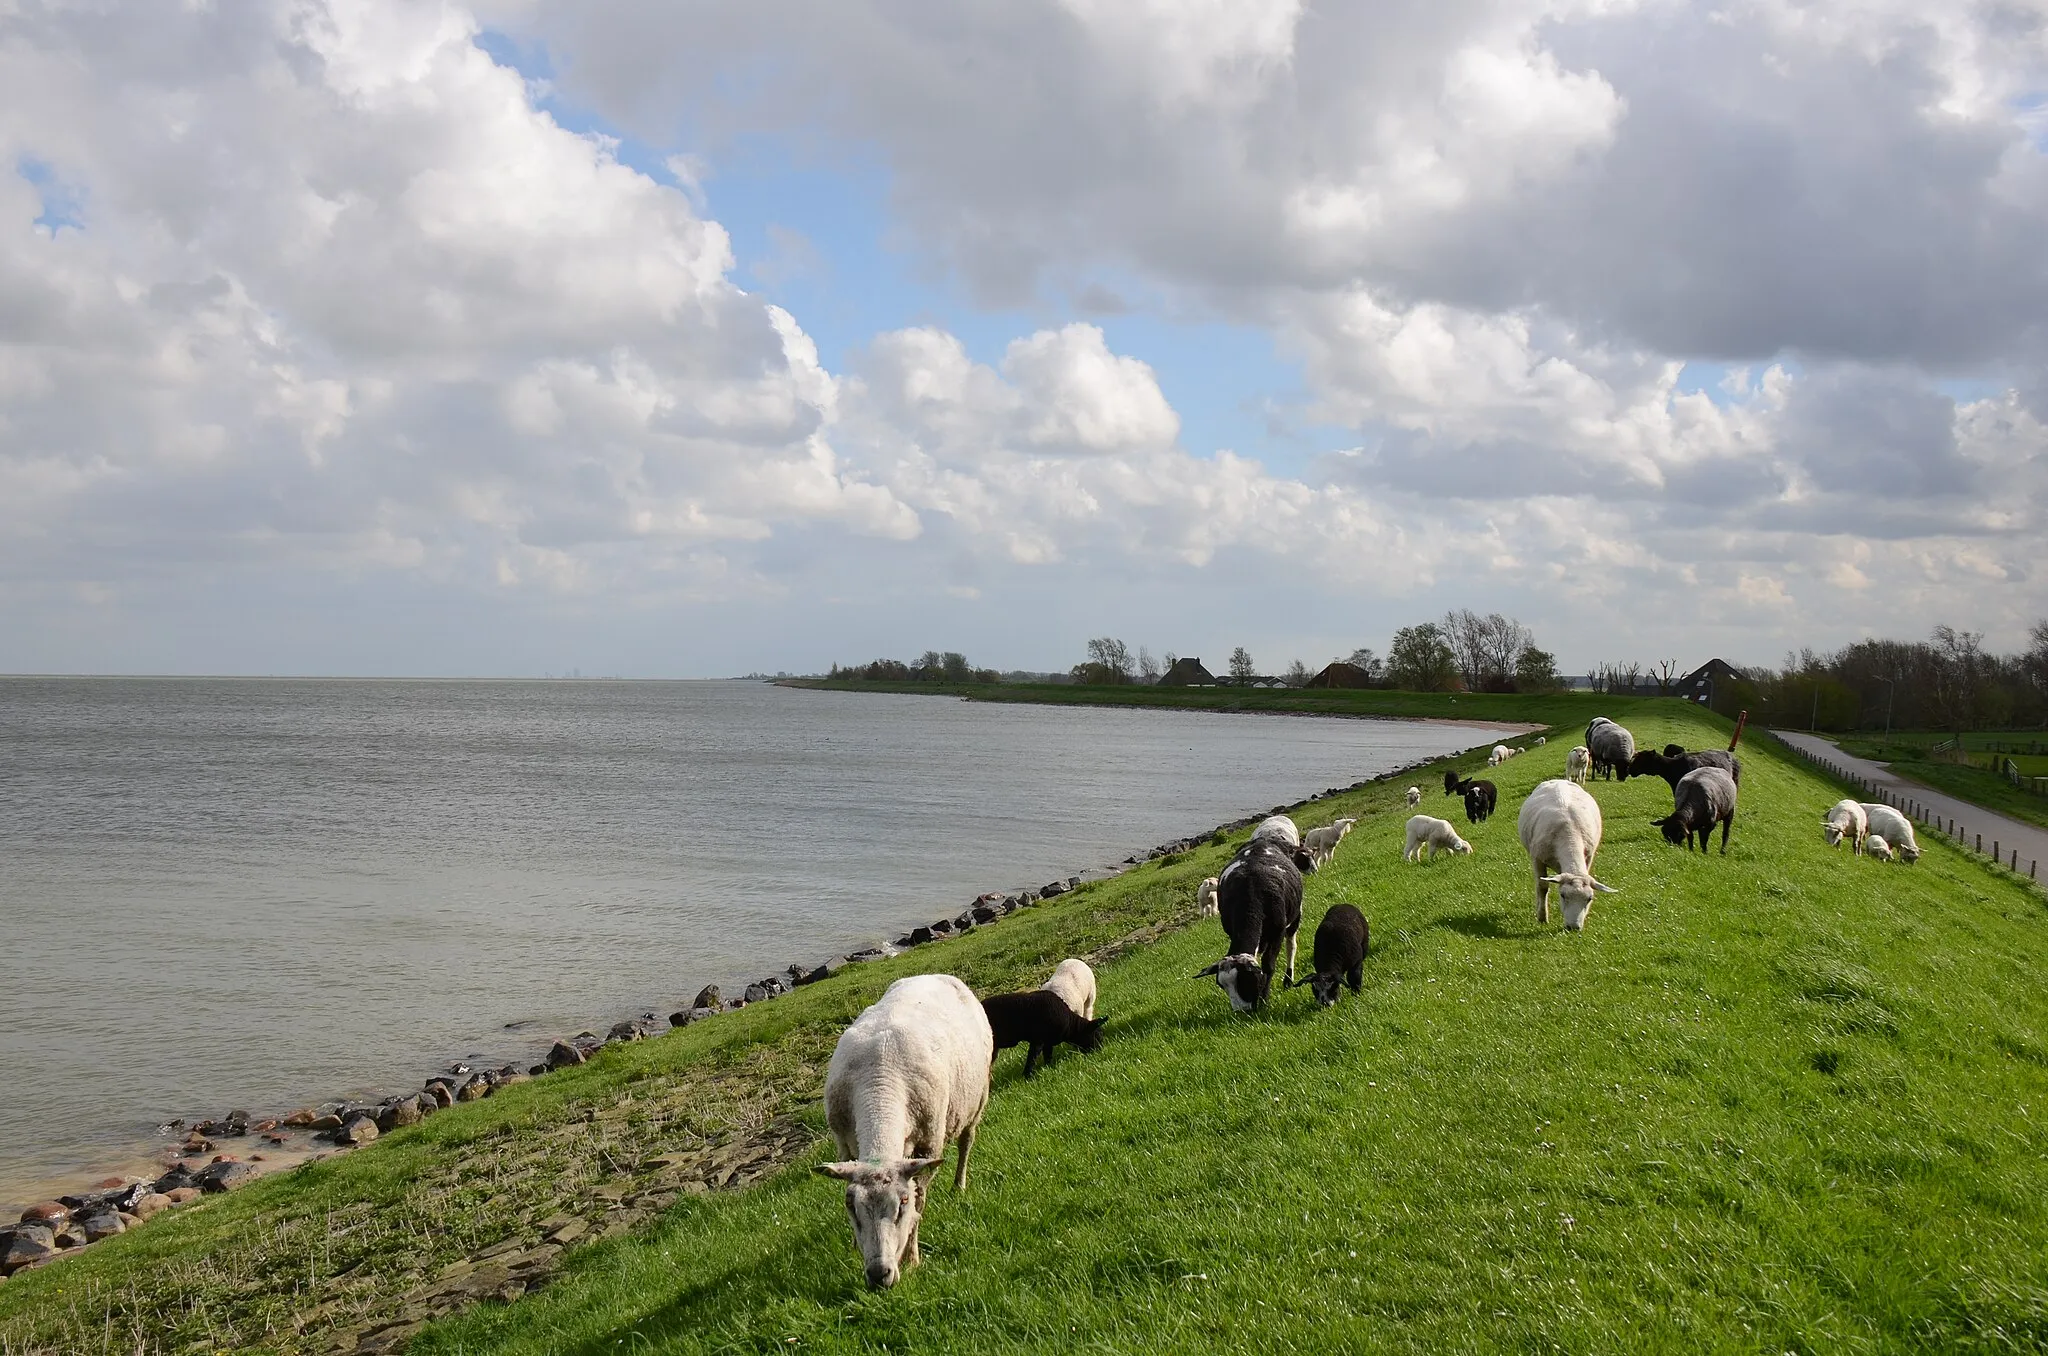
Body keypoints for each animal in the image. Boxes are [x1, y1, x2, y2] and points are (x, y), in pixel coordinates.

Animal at [815, 979, 991, 1294]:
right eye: (851, 1207)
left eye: (902, 1205)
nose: (878, 1275)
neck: (879, 1085)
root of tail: (934, 974)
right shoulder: (844, 1147)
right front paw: (854, 1242)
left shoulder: (928, 1149)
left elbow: (920, 1205)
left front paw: (912, 1258)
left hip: (976, 1101)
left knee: (966, 1143)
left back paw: (959, 1185)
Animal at [974, 995, 1105, 1081]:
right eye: (1096, 1035)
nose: (1100, 1051)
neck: (1070, 1024)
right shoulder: (1038, 1039)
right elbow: (1032, 1058)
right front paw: (1028, 1077)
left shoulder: (1047, 1041)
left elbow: (1047, 1056)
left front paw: (1048, 1068)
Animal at [1507, 786, 1613, 934]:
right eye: (1562, 895)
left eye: (1589, 898)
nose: (1573, 928)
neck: (1569, 836)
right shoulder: (1537, 859)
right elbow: (1542, 887)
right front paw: (1542, 917)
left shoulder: (1588, 857)